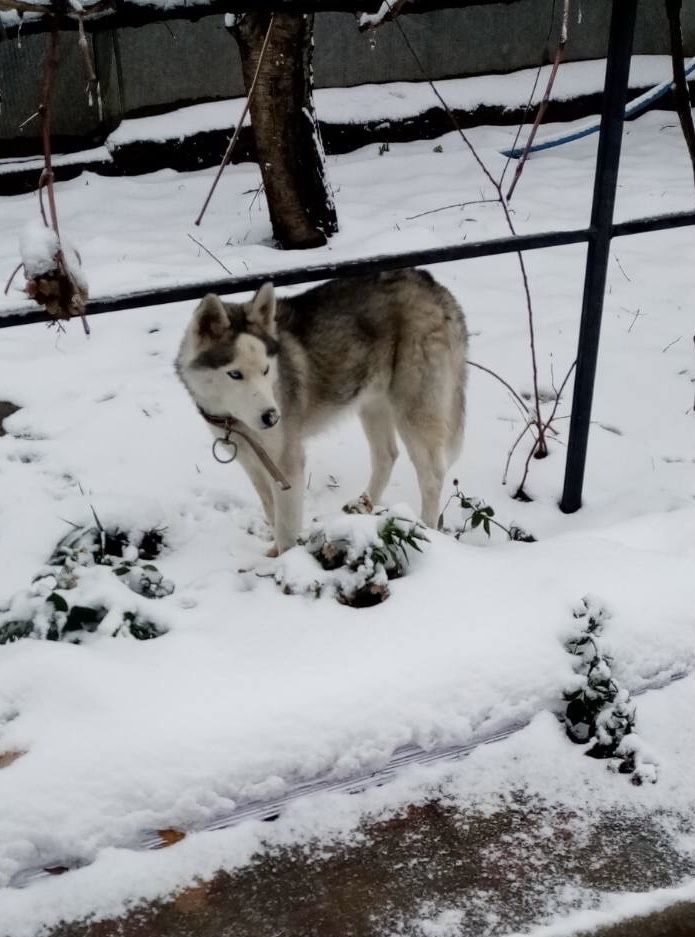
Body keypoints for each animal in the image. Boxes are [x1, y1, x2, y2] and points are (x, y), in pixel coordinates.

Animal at [175, 266, 468, 552]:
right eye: (234, 374)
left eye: (266, 370)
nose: (272, 417)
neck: (233, 418)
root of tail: (431, 284)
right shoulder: (253, 463)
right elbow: (271, 512)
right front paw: (274, 552)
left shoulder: (287, 463)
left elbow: (286, 528)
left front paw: (287, 561)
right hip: (372, 402)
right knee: (387, 454)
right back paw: (365, 505)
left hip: (414, 409)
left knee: (431, 475)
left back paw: (428, 529)